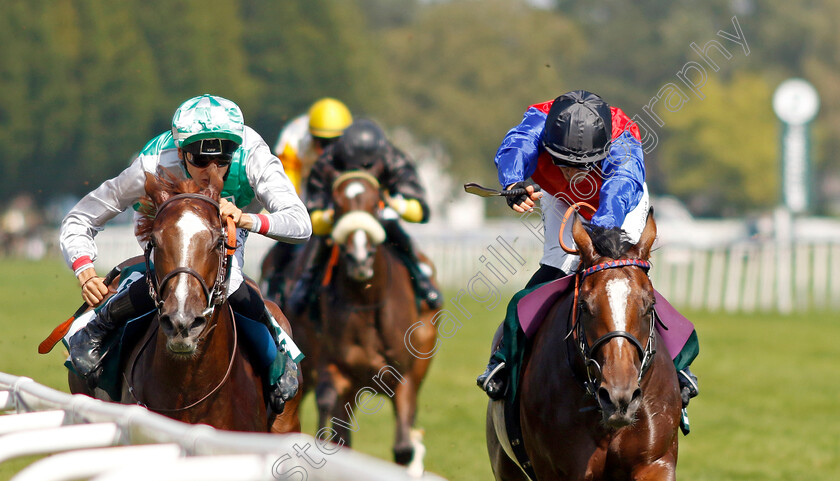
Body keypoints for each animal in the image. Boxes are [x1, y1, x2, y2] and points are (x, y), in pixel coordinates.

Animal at [286, 171, 436, 474]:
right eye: (337, 206)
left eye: (375, 205)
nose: (359, 259)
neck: (365, 299)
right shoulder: (335, 368)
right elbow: (329, 412)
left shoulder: (403, 374)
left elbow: (403, 448)